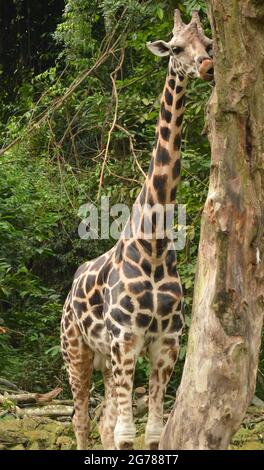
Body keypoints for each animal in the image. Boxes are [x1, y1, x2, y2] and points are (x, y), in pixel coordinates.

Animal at [60, 10, 213, 452]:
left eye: (208, 44)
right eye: (175, 48)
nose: (207, 67)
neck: (155, 245)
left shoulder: (165, 343)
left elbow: (150, 432)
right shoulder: (126, 337)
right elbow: (126, 433)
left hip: (106, 359)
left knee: (104, 419)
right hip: (76, 351)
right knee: (81, 418)